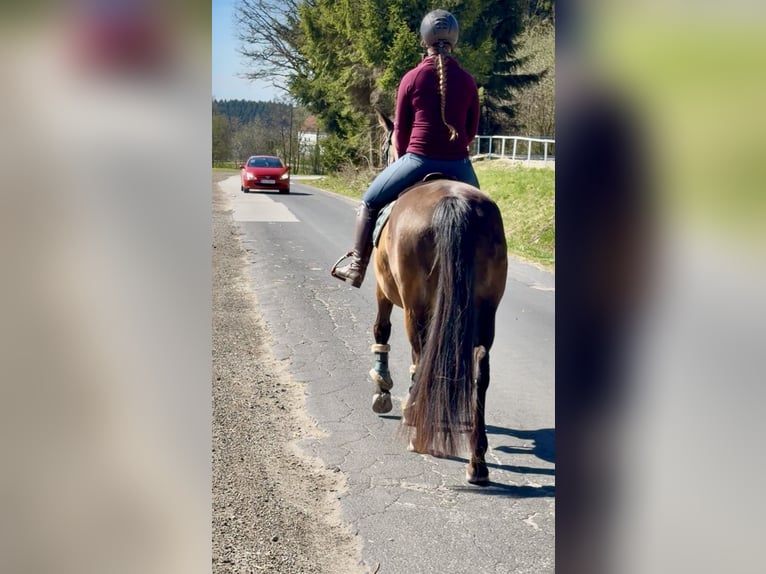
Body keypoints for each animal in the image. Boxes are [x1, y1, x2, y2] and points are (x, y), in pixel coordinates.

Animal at [367, 109, 508, 484]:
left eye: (386, 143)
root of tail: (454, 202)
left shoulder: (382, 289)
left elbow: (380, 331)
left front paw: (383, 390)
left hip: (414, 307)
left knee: (421, 354)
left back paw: (417, 429)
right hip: (486, 310)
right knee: (480, 364)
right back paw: (477, 461)